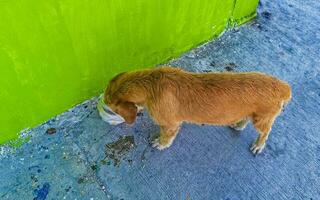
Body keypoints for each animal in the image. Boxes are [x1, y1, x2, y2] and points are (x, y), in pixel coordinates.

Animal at [104, 67, 292, 155]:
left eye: (110, 105)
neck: (151, 83)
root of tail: (282, 87)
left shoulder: (170, 124)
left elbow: (166, 136)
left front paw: (160, 143)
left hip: (262, 120)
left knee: (265, 132)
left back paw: (259, 145)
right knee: (245, 119)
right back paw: (238, 125)